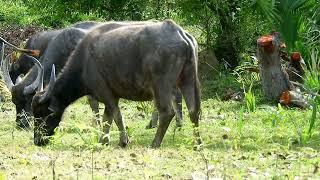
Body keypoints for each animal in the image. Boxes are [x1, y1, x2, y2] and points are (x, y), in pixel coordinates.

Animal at [30, 19, 200, 148]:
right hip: (188, 78)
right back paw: (197, 143)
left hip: (161, 85)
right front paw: (108, 140)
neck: (84, 63)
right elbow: (111, 117)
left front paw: (118, 141)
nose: (37, 140)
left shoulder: (107, 94)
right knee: (194, 110)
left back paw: (155, 143)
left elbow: (114, 116)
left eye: (42, 114)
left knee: (167, 112)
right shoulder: (113, 95)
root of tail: (179, 33)